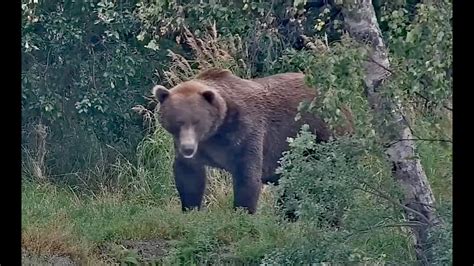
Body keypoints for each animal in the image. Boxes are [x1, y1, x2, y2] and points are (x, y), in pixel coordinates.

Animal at [152, 68, 334, 214]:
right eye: (178, 122)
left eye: (196, 121)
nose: (188, 148)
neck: (217, 131)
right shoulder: (199, 147)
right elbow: (189, 175)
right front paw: (190, 209)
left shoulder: (246, 131)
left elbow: (246, 175)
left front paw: (242, 212)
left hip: (318, 134)